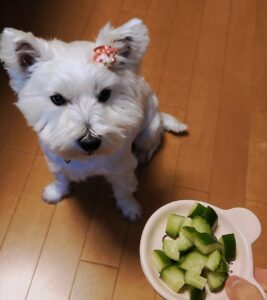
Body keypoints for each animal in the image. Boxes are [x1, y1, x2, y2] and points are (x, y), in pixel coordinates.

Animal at [0, 18, 188, 220]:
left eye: (105, 94)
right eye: (57, 99)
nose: (89, 142)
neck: (86, 159)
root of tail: (159, 114)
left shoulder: (122, 168)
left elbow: (124, 189)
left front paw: (130, 209)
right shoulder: (55, 161)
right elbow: (60, 179)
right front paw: (55, 193)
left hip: (148, 129)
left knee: (153, 141)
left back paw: (142, 154)